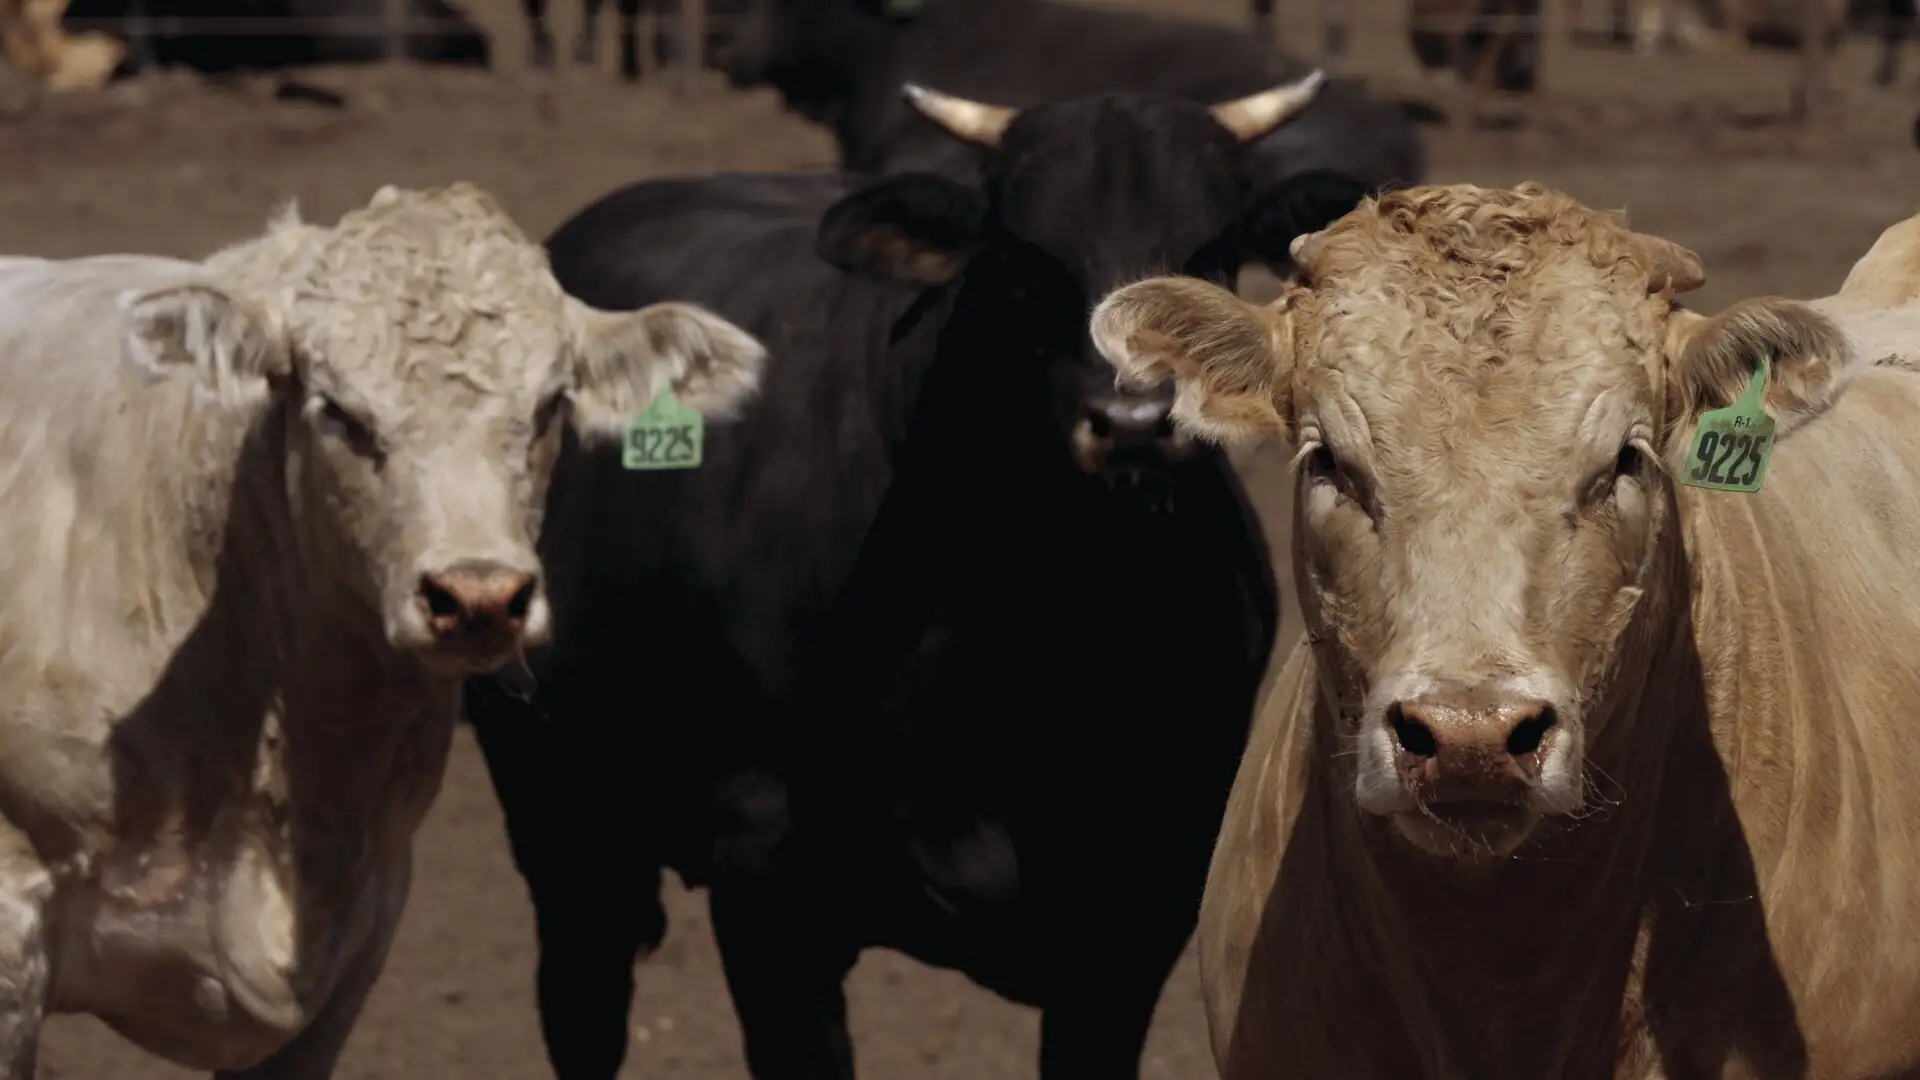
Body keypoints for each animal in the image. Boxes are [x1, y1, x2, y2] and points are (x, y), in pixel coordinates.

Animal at [464, 76, 1374, 1080]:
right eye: (1021, 258)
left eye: (1211, 252)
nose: (1135, 423)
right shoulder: (766, 885)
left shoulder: (1140, 909)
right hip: (559, 823)